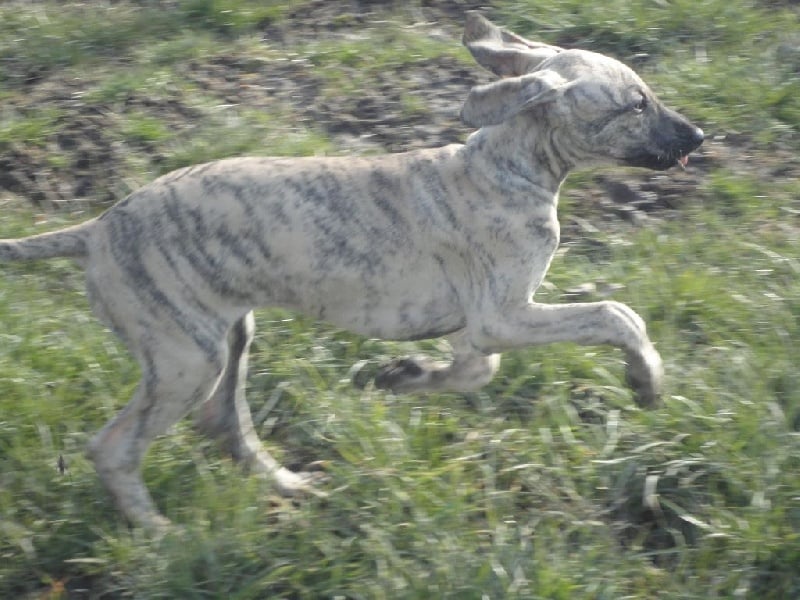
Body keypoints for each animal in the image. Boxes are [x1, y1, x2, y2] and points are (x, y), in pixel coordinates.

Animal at [0, 12, 700, 528]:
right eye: (635, 105)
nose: (698, 137)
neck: (502, 167)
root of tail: (94, 231)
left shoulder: (480, 325)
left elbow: (476, 371)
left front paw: (407, 377)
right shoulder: (502, 315)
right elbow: (616, 314)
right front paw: (646, 380)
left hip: (227, 338)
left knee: (226, 423)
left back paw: (289, 487)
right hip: (184, 358)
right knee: (115, 447)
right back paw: (157, 533)